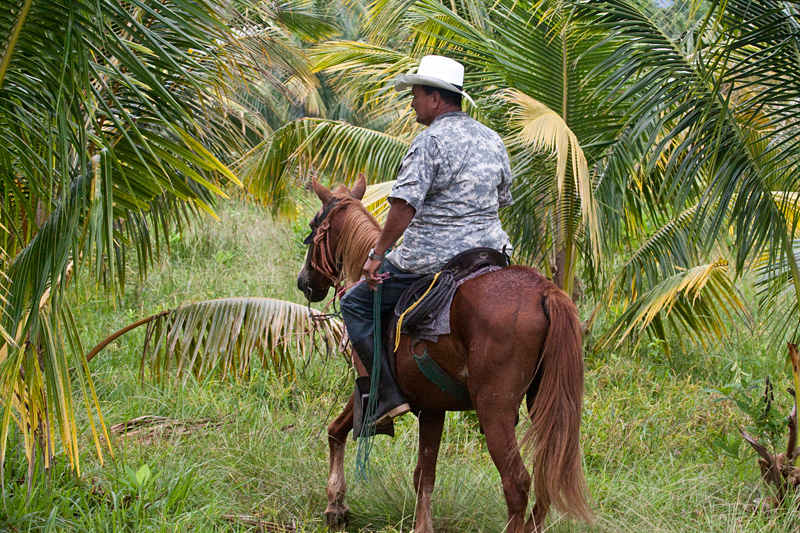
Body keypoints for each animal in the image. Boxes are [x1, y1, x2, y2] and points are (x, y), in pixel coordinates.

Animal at [296, 178, 592, 532]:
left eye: (313, 225)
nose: (304, 282)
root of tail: (545, 291)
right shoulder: (432, 407)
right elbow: (424, 474)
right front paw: (421, 525)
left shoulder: (369, 386)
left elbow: (335, 431)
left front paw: (335, 505)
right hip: (545, 402)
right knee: (547, 473)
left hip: (494, 408)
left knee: (517, 483)